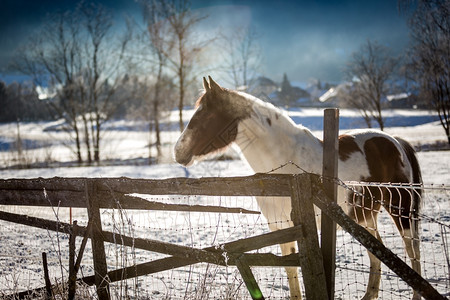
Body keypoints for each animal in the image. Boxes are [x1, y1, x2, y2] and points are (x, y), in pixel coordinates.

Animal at [174, 77, 424, 300]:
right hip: (364, 216)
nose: (178, 152)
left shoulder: (298, 224)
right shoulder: (278, 224)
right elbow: (290, 269)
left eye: (205, 115)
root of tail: (396, 142)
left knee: (413, 251)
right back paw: (369, 295)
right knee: (377, 252)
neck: (284, 161)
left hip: (401, 210)